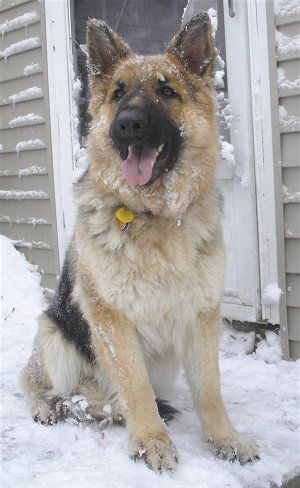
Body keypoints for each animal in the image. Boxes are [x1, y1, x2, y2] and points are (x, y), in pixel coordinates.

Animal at [21, 14, 260, 472]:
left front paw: (226, 439)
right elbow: (135, 386)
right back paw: (50, 406)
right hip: (53, 334)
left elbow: (209, 389)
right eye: (118, 94)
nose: (127, 124)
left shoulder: (201, 315)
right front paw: (151, 439)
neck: (154, 216)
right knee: (40, 385)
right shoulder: (112, 320)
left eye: (167, 92)